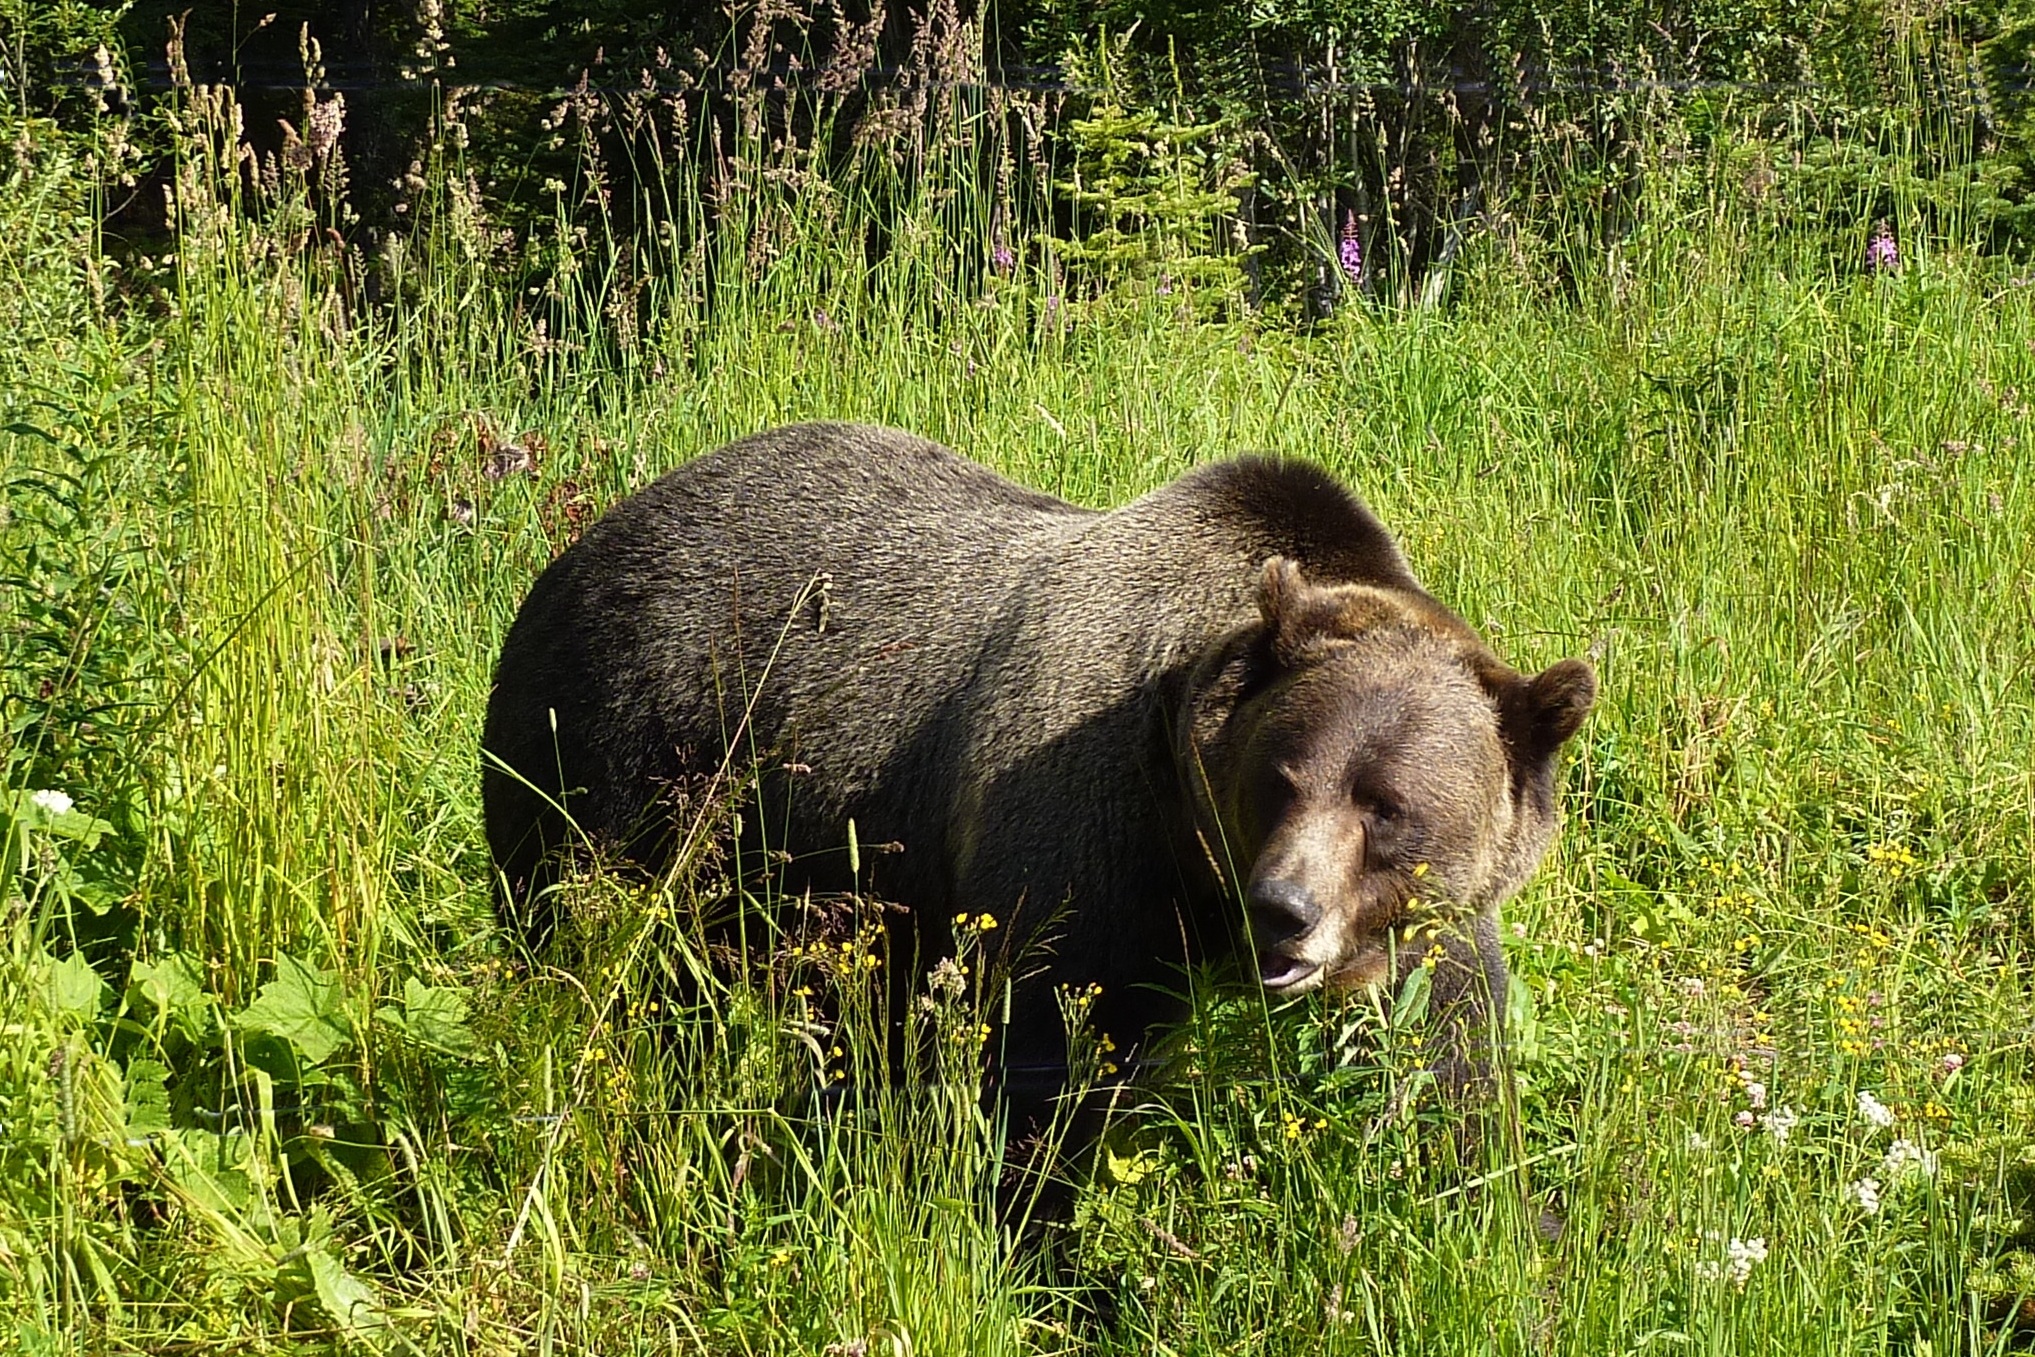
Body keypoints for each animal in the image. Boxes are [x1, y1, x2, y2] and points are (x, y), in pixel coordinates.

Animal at [484, 421, 1595, 1106]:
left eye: (1386, 807)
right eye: (1278, 779)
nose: (1284, 908)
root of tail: (589, 534)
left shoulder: (1425, 923)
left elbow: (1451, 1055)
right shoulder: (1086, 829)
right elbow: (1046, 1050)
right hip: (618, 756)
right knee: (590, 940)